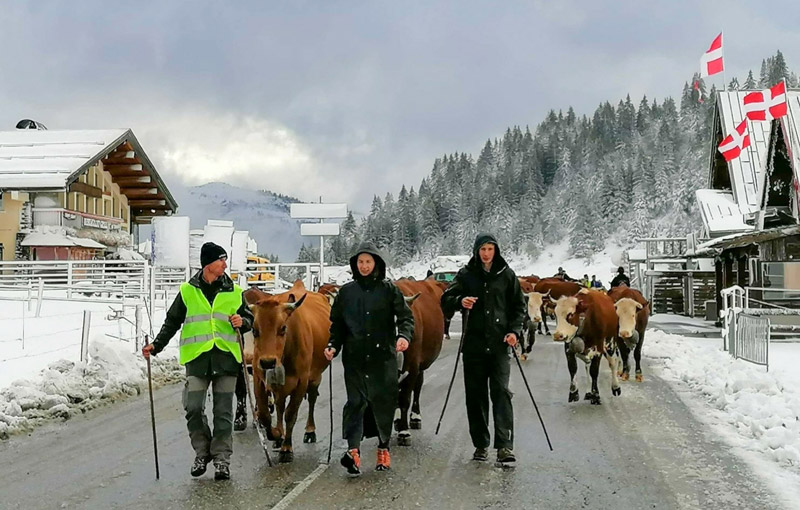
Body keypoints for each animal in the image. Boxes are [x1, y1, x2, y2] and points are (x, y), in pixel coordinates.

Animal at [248, 278, 330, 462]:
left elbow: (290, 414)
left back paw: (309, 431)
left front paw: (287, 448)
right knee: (279, 405)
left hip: (315, 377)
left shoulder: (301, 382)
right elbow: (264, 414)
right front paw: (277, 434)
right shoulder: (259, 379)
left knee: (312, 398)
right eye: (255, 330)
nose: (268, 362)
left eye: (283, 328)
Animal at [396, 276, 450, 444]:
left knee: (418, 386)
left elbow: (405, 398)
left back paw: (415, 417)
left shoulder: (412, 365)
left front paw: (404, 431)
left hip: (420, 364)